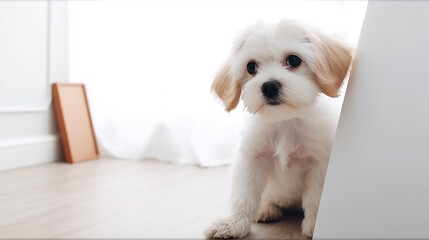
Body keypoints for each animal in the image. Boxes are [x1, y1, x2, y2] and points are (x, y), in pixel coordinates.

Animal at [206, 20, 352, 238]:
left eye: (293, 60)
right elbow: (244, 194)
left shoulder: (320, 164)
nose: (269, 86)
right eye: (251, 66)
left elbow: (315, 197)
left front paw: (314, 226)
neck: (285, 122)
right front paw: (234, 224)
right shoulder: (252, 159)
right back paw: (266, 209)